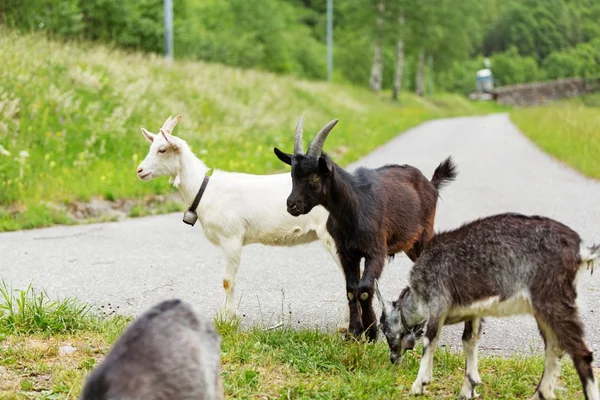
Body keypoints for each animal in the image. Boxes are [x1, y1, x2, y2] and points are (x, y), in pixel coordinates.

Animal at [137, 115, 350, 328]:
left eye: (162, 149)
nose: (140, 170)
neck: (205, 190)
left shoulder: (231, 238)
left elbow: (227, 281)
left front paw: (229, 319)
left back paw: (345, 325)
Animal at [274, 115, 458, 340]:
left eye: (315, 177)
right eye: (293, 175)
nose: (292, 205)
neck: (353, 207)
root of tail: (431, 184)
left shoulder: (376, 251)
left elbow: (364, 289)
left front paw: (371, 331)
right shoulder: (347, 253)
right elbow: (351, 290)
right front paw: (354, 332)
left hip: (424, 234)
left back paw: (420, 326)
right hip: (409, 244)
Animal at [376, 212, 600, 400]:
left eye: (384, 328)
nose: (393, 359)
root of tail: (580, 250)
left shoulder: (438, 301)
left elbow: (430, 340)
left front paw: (419, 385)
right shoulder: (473, 312)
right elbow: (469, 341)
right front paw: (468, 389)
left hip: (554, 299)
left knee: (581, 353)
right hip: (543, 310)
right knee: (554, 349)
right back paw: (539, 394)